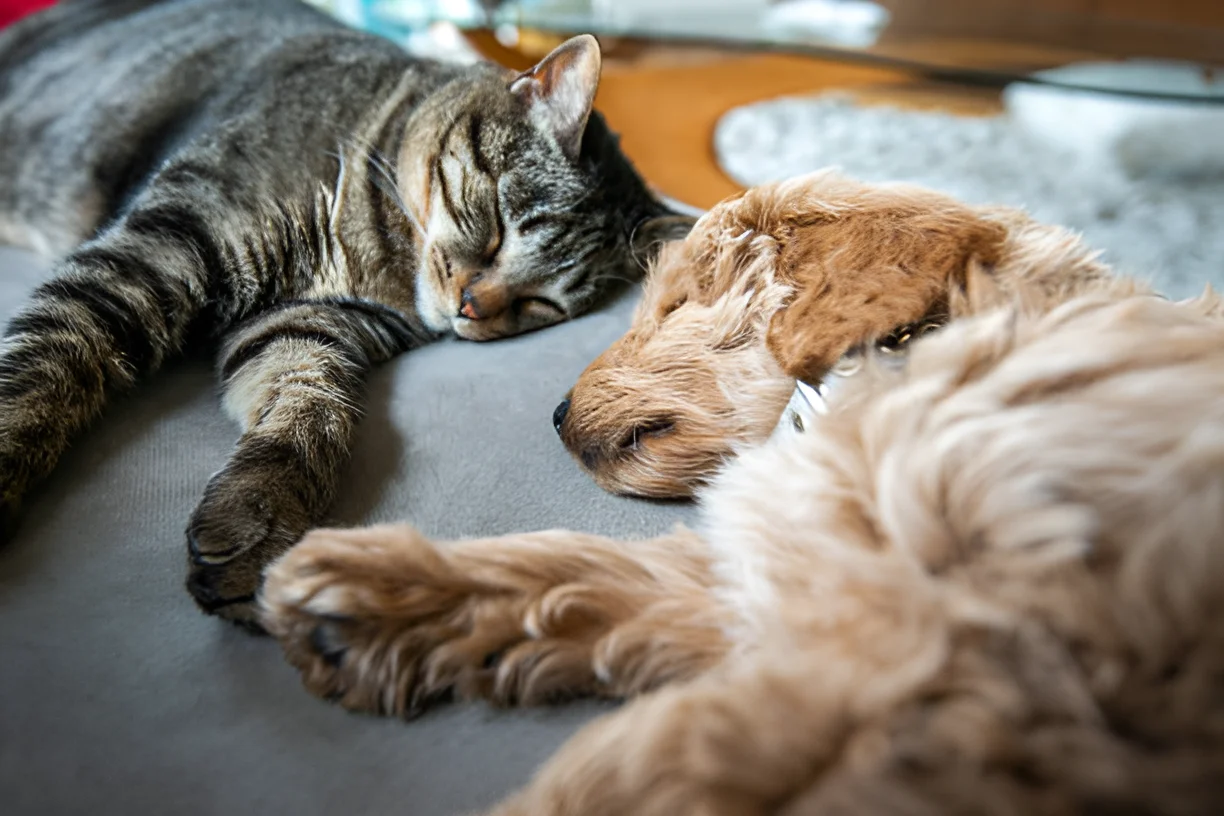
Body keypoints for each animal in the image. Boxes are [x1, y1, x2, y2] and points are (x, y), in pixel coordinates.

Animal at [0, 0, 690, 626]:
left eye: (540, 303)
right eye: (498, 229)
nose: (471, 308)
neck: (375, 253)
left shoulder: (306, 324)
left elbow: (310, 411)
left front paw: (259, 519)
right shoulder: (164, 248)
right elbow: (46, 363)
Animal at [258, 171, 1224, 812]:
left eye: (676, 302)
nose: (557, 414)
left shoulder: (940, 652)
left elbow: (669, 758)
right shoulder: (801, 570)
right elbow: (597, 573)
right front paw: (379, 597)